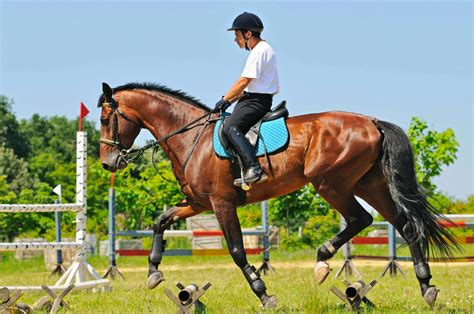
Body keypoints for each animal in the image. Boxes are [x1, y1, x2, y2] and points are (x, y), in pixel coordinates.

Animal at [98, 82, 458, 308]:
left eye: (104, 119)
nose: (107, 163)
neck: (191, 139)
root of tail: (372, 121)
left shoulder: (221, 203)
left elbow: (237, 251)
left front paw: (263, 294)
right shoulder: (198, 203)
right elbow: (161, 220)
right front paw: (154, 273)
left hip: (330, 182)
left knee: (361, 218)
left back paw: (323, 259)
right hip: (368, 184)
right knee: (404, 225)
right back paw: (426, 286)